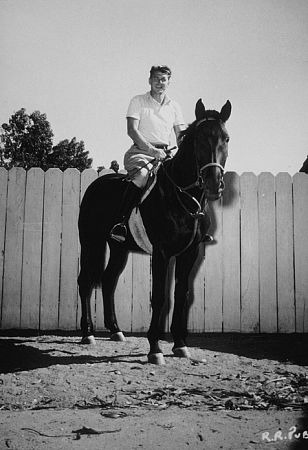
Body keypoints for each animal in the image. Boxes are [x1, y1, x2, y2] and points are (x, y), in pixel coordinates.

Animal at [77, 96, 231, 364]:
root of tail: (95, 186)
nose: (214, 184)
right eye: (199, 139)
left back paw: (115, 330)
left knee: (108, 280)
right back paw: (87, 333)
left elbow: (181, 295)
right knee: (85, 281)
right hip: (91, 243)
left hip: (118, 248)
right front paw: (155, 349)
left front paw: (180, 345)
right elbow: (159, 297)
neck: (182, 196)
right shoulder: (161, 253)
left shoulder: (189, 253)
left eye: (226, 138)